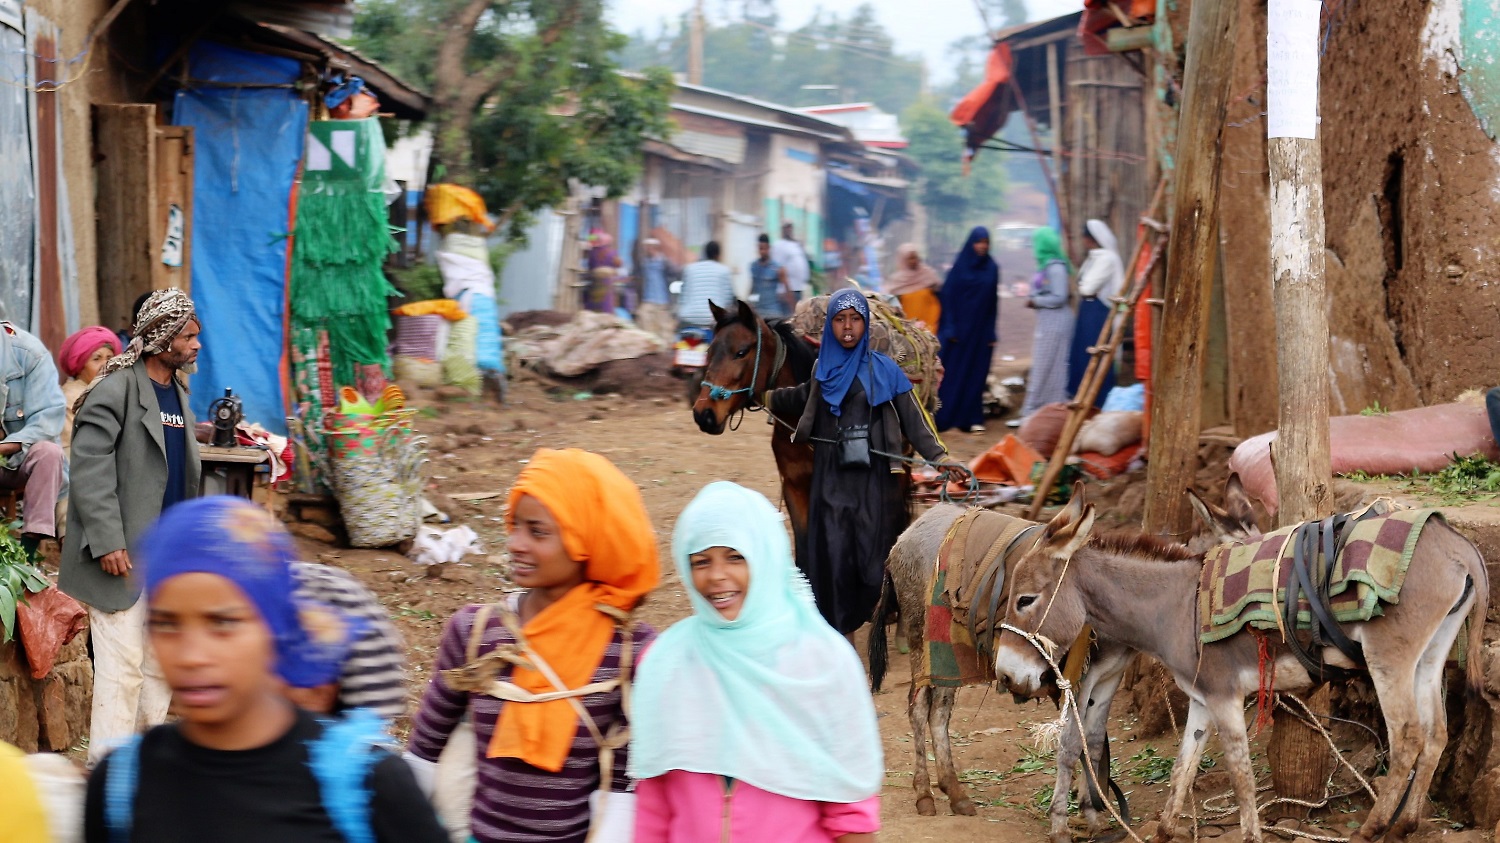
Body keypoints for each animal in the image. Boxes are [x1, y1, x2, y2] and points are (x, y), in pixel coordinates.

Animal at [996, 486, 1488, 840]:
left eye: (1025, 600)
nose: (1004, 676)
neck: (1179, 606)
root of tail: (1458, 544)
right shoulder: (1201, 700)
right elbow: (1182, 769)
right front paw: (1163, 831)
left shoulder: (1224, 696)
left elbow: (1241, 774)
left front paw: (1251, 834)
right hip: (1430, 653)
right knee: (1437, 732)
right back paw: (1406, 824)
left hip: (1389, 656)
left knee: (1407, 735)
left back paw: (1374, 828)